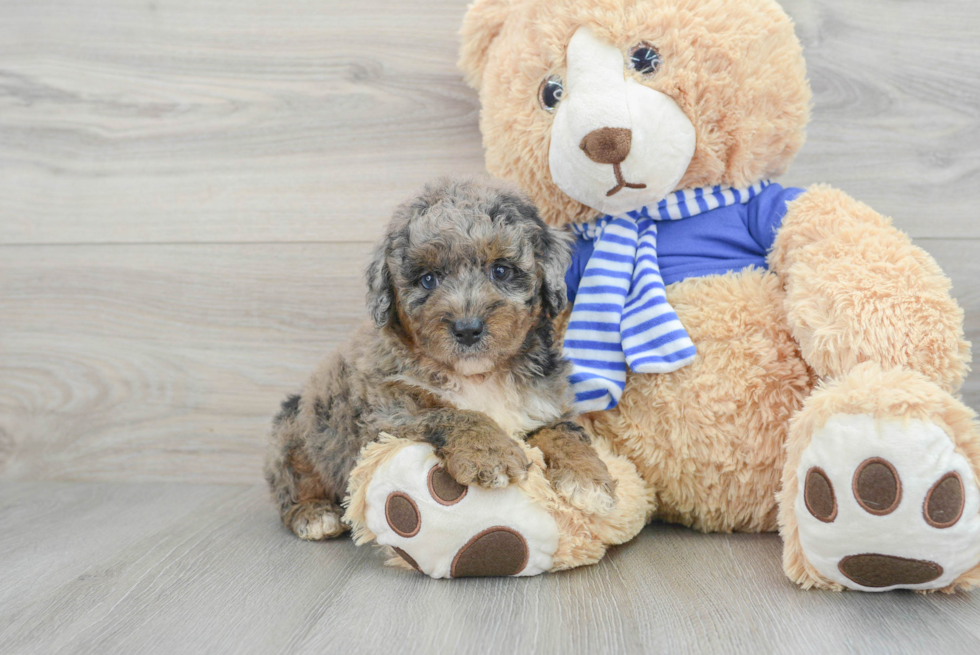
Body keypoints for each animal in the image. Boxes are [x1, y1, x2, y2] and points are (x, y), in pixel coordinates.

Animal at [264, 177, 616, 540]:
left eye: (501, 271)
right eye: (428, 279)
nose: (467, 329)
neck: (479, 376)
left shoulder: (544, 404)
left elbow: (565, 432)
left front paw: (589, 480)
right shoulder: (386, 414)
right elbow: (453, 414)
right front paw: (491, 453)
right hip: (293, 434)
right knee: (292, 483)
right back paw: (314, 515)